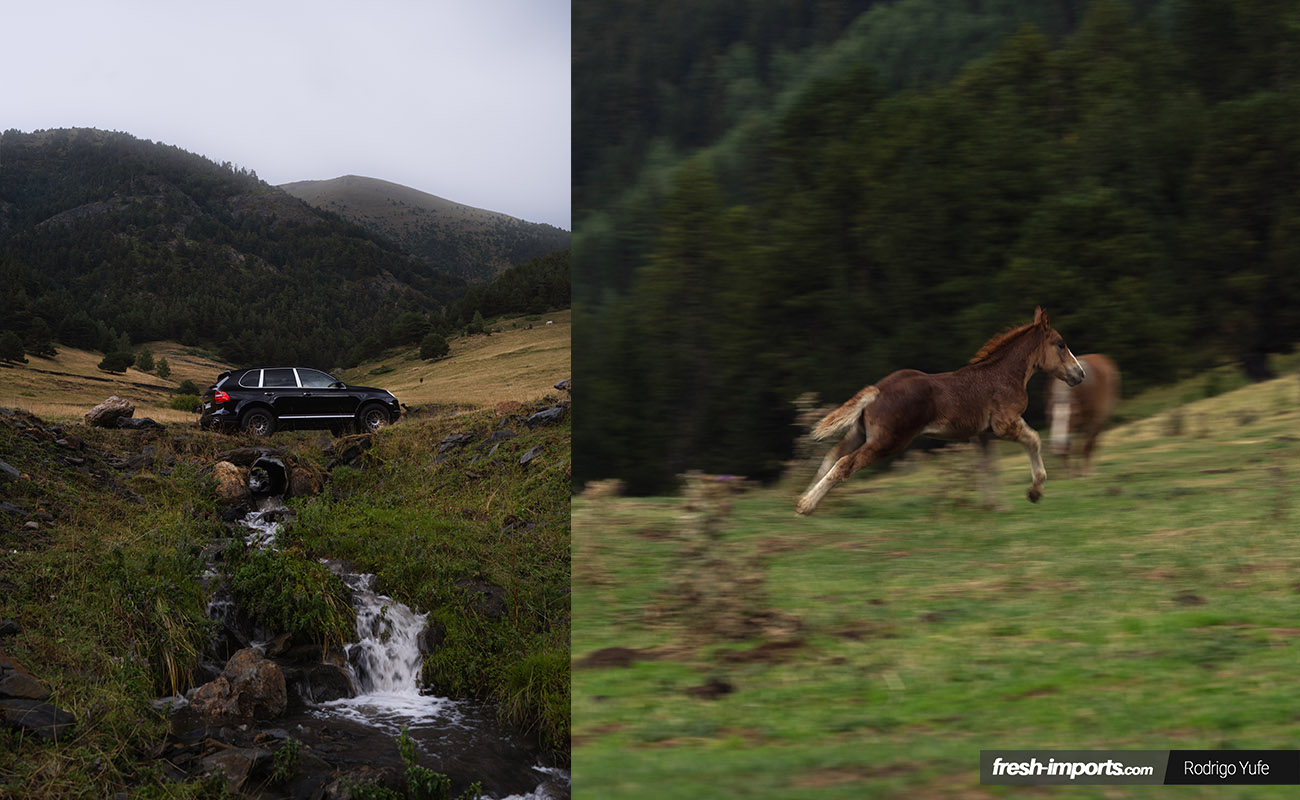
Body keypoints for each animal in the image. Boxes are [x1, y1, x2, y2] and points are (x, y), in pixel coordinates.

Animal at [796, 307, 1085, 516]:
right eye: (1061, 344)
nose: (1080, 374)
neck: (1005, 374)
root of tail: (877, 390)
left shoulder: (982, 434)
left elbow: (987, 467)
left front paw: (996, 506)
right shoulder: (1006, 424)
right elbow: (1034, 440)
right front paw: (1034, 492)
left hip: (860, 433)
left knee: (830, 457)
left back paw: (802, 501)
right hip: (888, 441)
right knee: (844, 463)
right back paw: (807, 506)